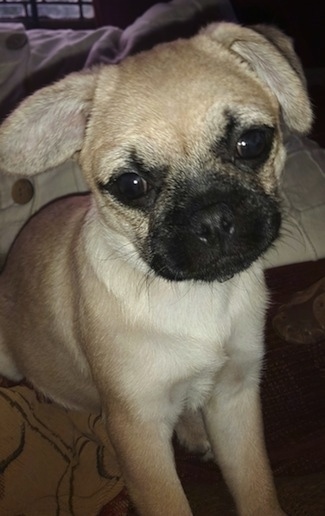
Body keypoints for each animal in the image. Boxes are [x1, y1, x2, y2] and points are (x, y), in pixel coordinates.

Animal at [0, 22, 312, 512]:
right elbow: (169, 501)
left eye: (252, 143)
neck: (194, 297)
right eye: (131, 185)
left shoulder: (235, 399)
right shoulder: (138, 432)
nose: (212, 218)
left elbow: (256, 489)